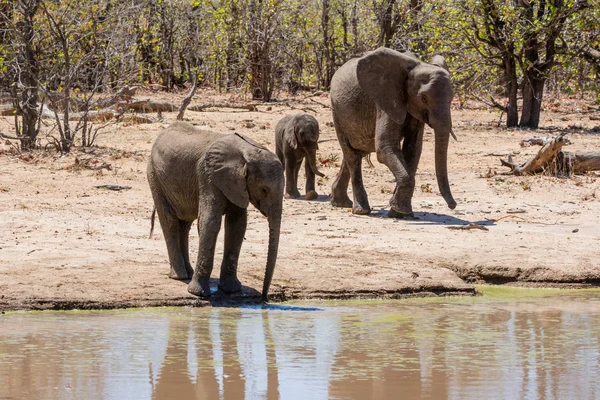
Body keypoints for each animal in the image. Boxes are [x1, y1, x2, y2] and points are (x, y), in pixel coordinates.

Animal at [147, 122, 284, 300]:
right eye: (264, 190)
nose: (264, 298)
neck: (247, 152)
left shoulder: (237, 184)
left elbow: (238, 224)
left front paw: (231, 290)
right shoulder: (208, 176)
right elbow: (210, 221)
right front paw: (198, 293)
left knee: (185, 223)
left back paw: (188, 273)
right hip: (155, 176)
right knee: (170, 221)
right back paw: (180, 276)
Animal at [330, 47, 458, 217]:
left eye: (452, 98)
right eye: (424, 98)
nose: (453, 205)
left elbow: (413, 150)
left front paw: (400, 214)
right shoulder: (386, 100)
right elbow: (385, 148)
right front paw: (400, 210)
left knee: (357, 151)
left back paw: (340, 203)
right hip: (337, 111)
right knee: (351, 154)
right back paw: (361, 210)